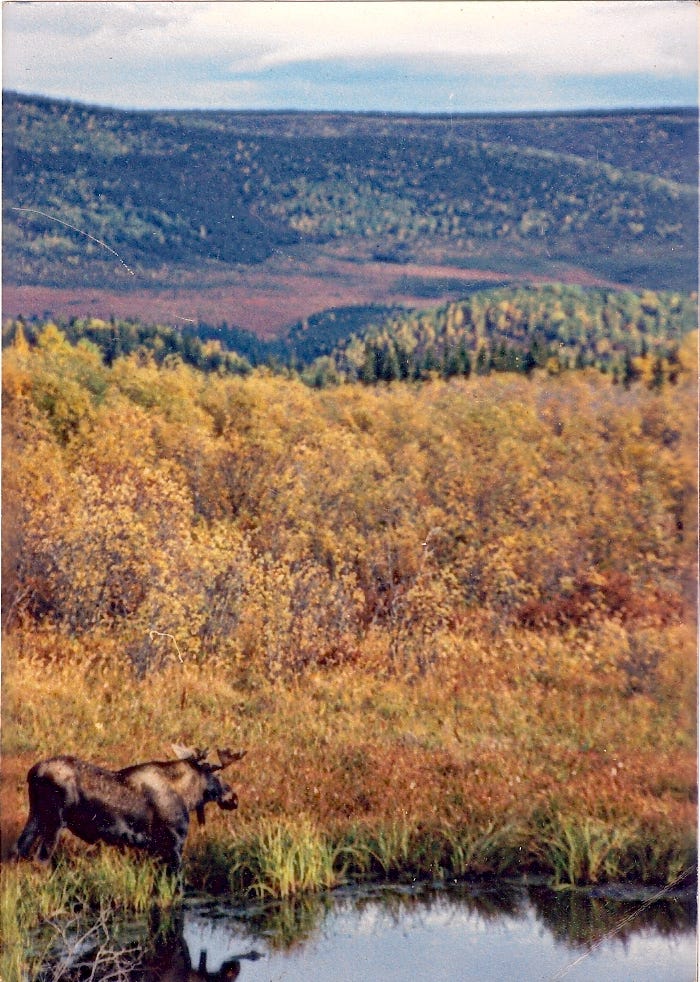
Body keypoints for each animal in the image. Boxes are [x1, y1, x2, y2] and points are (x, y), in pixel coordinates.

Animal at [12, 744, 247, 876]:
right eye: (217, 773)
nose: (234, 798)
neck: (187, 796)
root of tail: (33, 772)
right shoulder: (174, 844)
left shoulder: (154, 849)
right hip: (53, 822)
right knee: (40, 861)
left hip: (35, 817)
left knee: (18, 850)